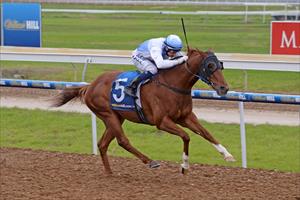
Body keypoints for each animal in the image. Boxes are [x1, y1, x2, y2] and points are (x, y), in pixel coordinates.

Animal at [51, 47, 234, 174]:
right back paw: (151, 161)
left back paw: (109, 173)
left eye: (220, 65)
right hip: (108, 114)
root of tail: (90, 86)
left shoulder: (186, 117)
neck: (173, 85)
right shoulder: (162, 122)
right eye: (209, 65)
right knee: (122, 141)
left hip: (117, 117)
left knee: (103, 144)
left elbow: (206, 133)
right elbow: (186, 136)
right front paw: (184, 166)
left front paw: (227, 155)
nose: (224, 88)